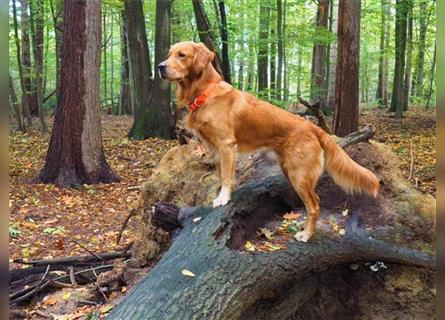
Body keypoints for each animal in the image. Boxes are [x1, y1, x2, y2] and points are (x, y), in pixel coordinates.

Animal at [158, 41, 376, 241]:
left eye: (182, 55)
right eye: (169, 54)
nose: (160, 66)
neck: (206, 93)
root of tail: (313, 127)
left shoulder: (226, 145)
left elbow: (227, 177)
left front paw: (223, 198)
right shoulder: (214, 149)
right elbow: (221, 176)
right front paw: (220, 195)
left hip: (298, 174)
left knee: (314, 206)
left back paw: (306, 235)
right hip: (291, 171)